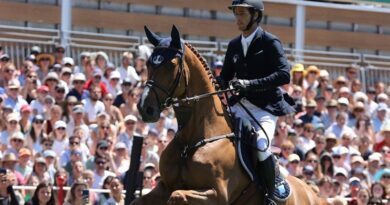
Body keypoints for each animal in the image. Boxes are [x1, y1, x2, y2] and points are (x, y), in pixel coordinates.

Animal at [134, 25, 326, 205]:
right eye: (149, 63)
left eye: (171, 65)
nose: (145, 108)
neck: (189, 141)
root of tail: (313, 194)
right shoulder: (164, 187)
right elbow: (140, 200)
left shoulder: (217, 195)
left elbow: (177, 196)